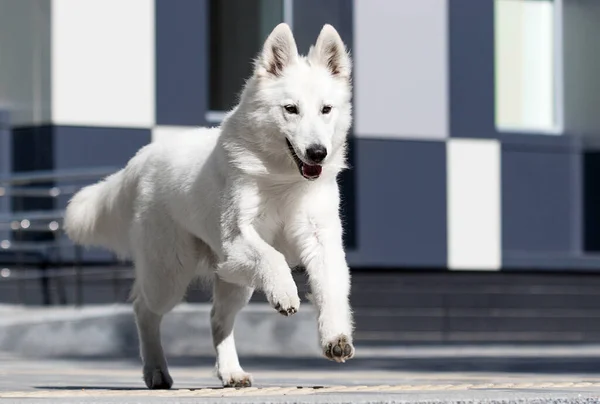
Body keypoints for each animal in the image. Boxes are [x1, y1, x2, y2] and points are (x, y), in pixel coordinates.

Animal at [63, 22, 354, 388]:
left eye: (326, 110)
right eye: (291, 109)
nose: (318, 153)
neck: (281, 178)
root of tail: (142, 159)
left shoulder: (320, 241)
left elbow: (330, 290)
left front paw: (335, 337)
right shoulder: (238, 240)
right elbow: (273, 258)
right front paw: (286, 292)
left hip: (232, 280)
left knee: (217, 319)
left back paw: (230, 371)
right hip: (170, 275)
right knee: (144, 308)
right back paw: (156, 370)